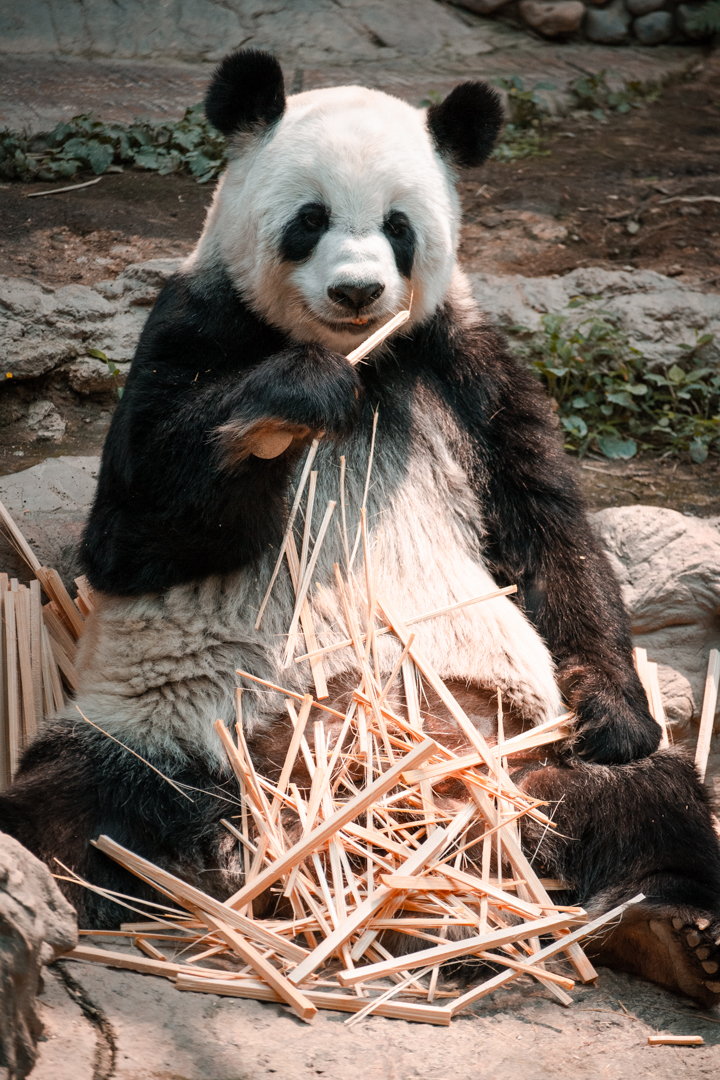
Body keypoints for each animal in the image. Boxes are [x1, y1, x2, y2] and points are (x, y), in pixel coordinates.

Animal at [2, 49, 720, 1007]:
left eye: (399, 227)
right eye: (310, 220)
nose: (358, 290)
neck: (365, 361)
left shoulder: (469, 365)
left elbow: (547, 532)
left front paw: (615, 710)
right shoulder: (191, 328)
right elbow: (130, 536)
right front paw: (292, 396)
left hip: (511, 759)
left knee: (644, 797)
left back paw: (674, 929)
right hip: (174, 734)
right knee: (75, 805)